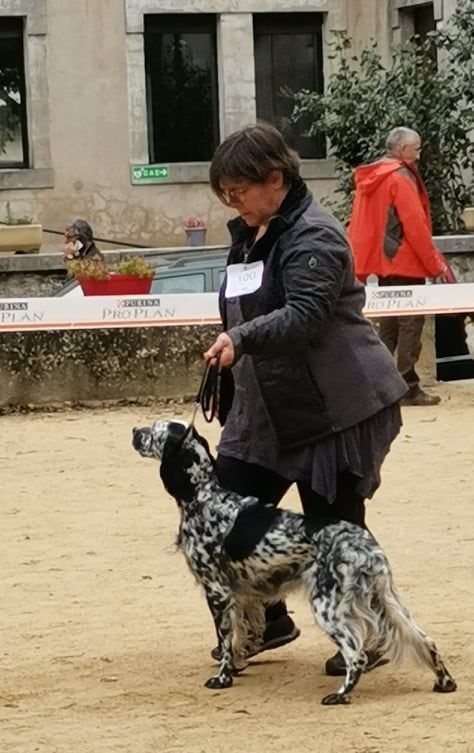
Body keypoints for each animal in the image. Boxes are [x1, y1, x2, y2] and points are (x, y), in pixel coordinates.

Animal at [131, 420, 458, 704]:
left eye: (154, 429)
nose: (135, 430)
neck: (203, 497)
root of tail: (368, 549)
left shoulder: (217, 591)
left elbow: (226, 641)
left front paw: (223, 679)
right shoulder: (242, 595)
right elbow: (239, 638)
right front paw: (237, 666)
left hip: (328, 608)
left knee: (357, 655)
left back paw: (340, 695)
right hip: (386, 602)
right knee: (426, 641)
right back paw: (444, 682)